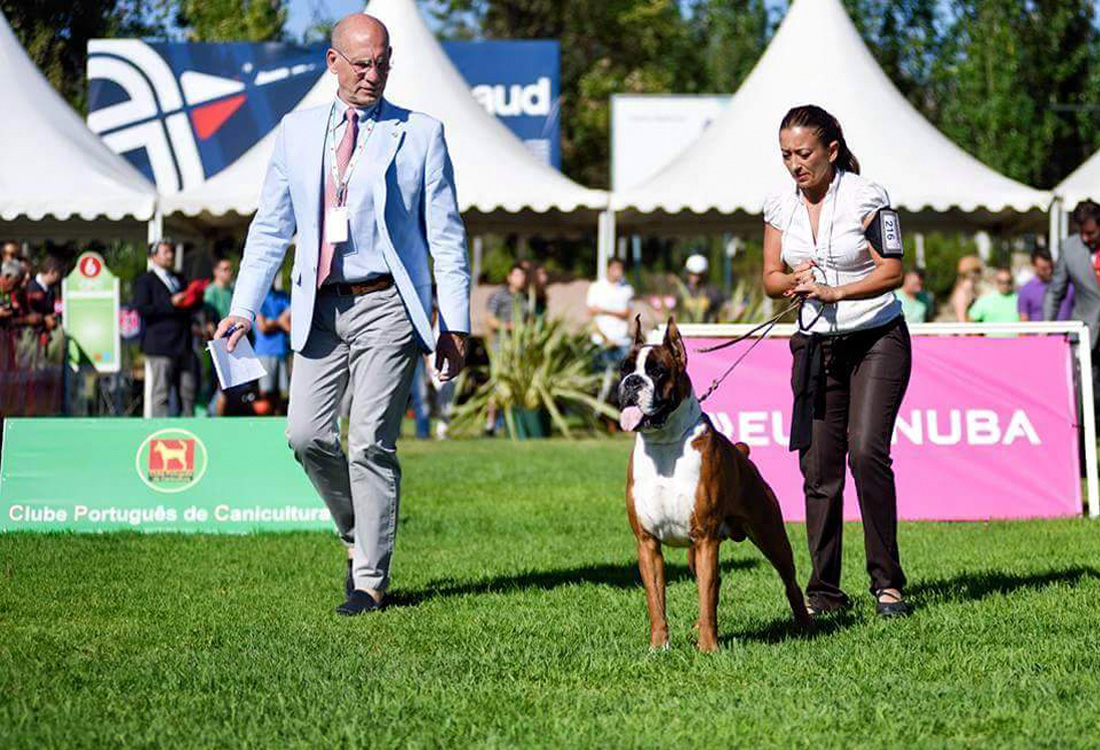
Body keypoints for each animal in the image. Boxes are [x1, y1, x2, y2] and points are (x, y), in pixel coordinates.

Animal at [624, 314, 814, 646]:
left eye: (657, 371)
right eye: (625, 368)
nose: (632, 382)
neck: (665, 443)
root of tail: (743, 454)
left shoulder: (706, 539)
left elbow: (706, 595)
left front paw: (708, 648)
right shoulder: (648, 544)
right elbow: (657, 601)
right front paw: (659, 646)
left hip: (771, 536)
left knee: (789, 581)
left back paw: (804, 624)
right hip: (694, 553)